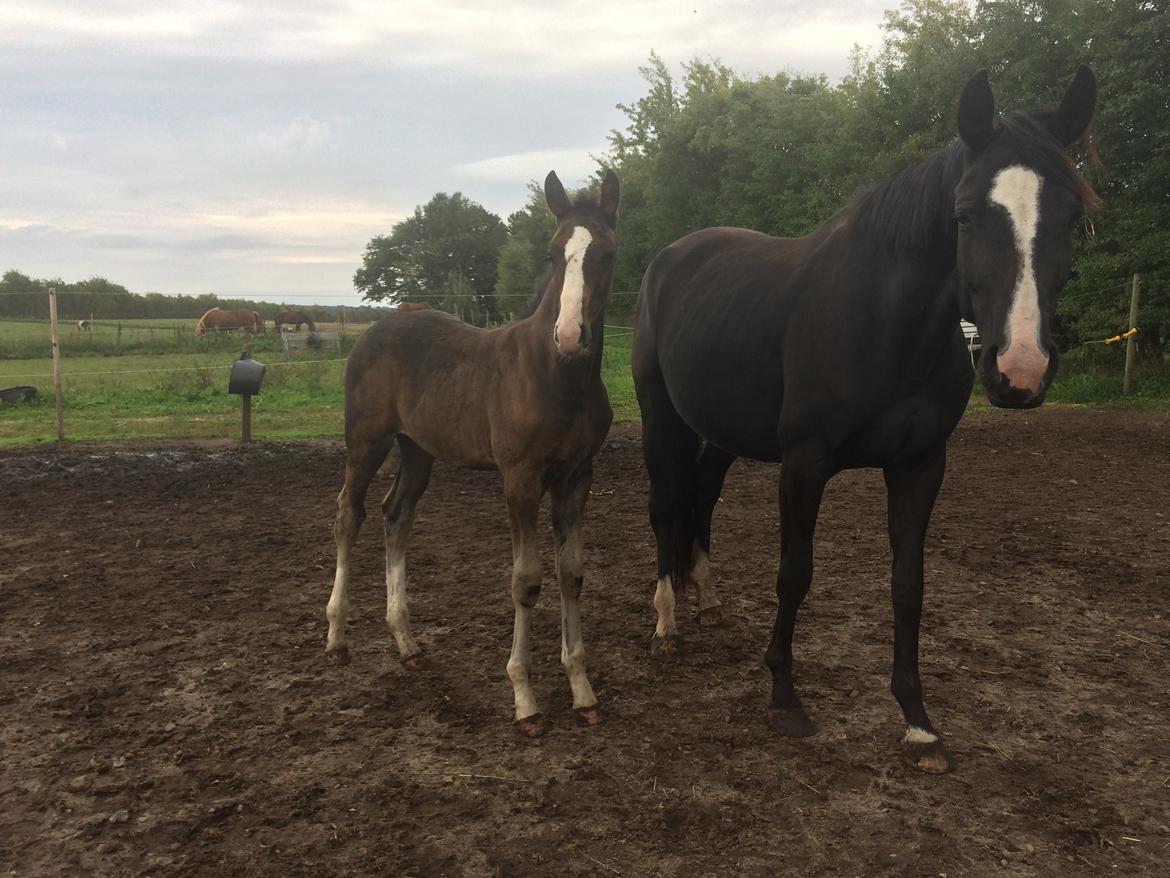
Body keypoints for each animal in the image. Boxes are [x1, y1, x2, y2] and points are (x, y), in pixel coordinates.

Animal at [631, 67, 1095, 767]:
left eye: (1072, 215)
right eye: (963, 216)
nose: (1020, 370)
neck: (888, 324)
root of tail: (669, 258)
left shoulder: (920, 465)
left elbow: (909, 584)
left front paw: (918, 720)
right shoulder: (803, 464)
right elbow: (794, 574)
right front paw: (785, 698)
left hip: (720, 433)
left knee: (702, 499)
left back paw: (706, 602)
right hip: (662, 418)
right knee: (666, 509)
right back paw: (666, 627)